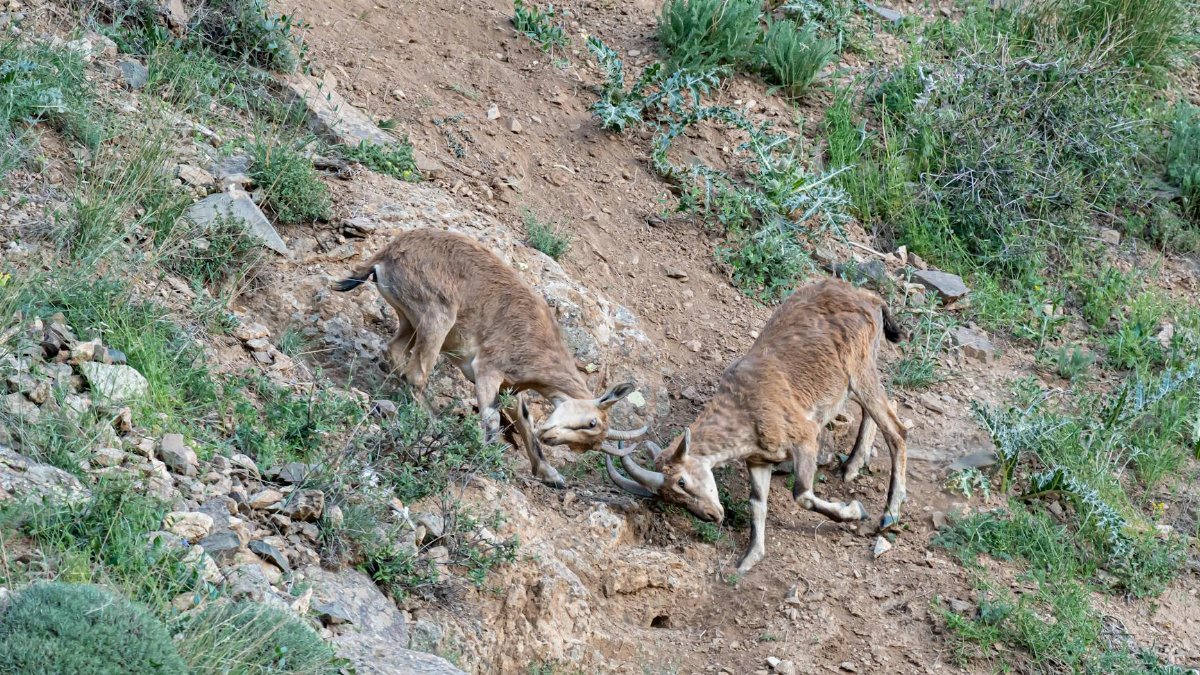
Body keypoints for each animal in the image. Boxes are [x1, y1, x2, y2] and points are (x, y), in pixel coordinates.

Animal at [332, 228, 647, 487]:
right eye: (592, 423)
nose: (549, 436)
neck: (540, 345)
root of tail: (386, 255)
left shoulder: (510, 385)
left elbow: (523, 418)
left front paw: (551, 475)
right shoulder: (488, 369)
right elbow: (492, 418)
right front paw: (488, 461)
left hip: (410, 320)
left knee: (395, 351)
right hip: (436, 316)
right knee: (417, 373)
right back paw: (433, 423)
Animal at [605, 278, 908, 574]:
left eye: (682, 481)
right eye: (668, 497)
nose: (713, 515)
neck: (744, 410)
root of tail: (869, 298)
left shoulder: (805, 436)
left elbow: (802, 494)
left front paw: (856, 510)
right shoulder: (759, 460)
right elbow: (757, 504)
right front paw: (750, 558)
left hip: (860, 369)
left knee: (896, 430)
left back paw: (889, 515)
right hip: (850, 382)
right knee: (883, 408)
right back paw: (852, 467)